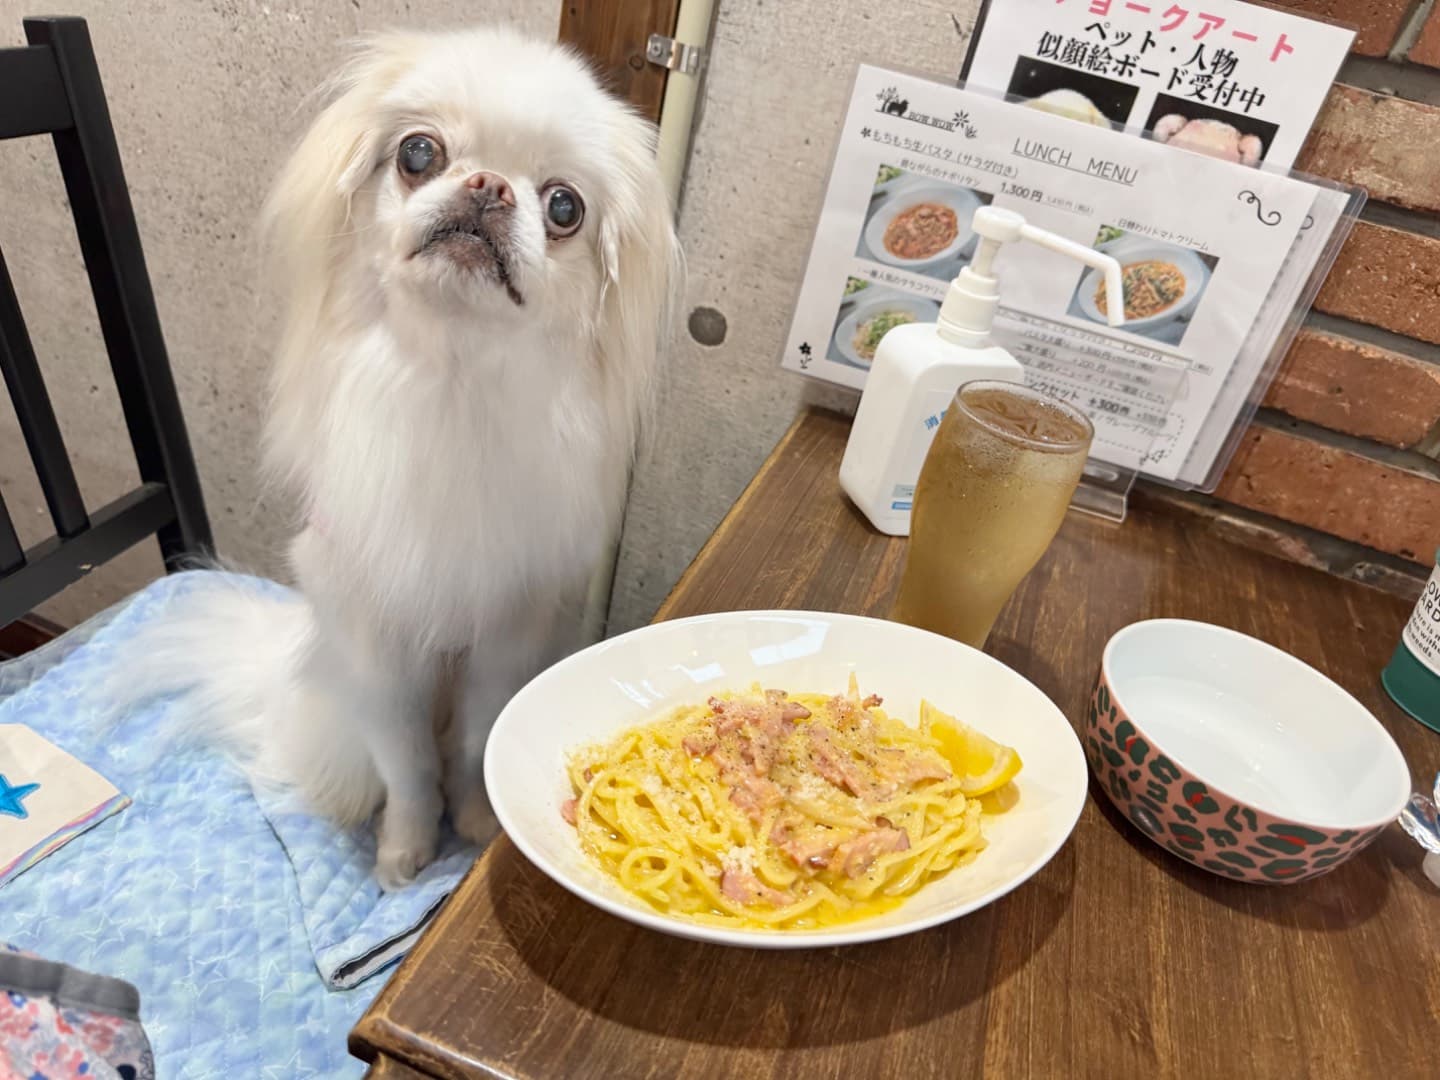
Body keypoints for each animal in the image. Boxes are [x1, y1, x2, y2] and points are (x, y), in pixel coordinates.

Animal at [127, 26, 679, 889]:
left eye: (564, 207)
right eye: (420, 153)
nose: (488, 187)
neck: (448, 385)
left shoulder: (504, 634)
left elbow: (477, 741)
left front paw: (479, 823)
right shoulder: (378, 652)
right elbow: (410, 766)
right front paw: (405, 854)